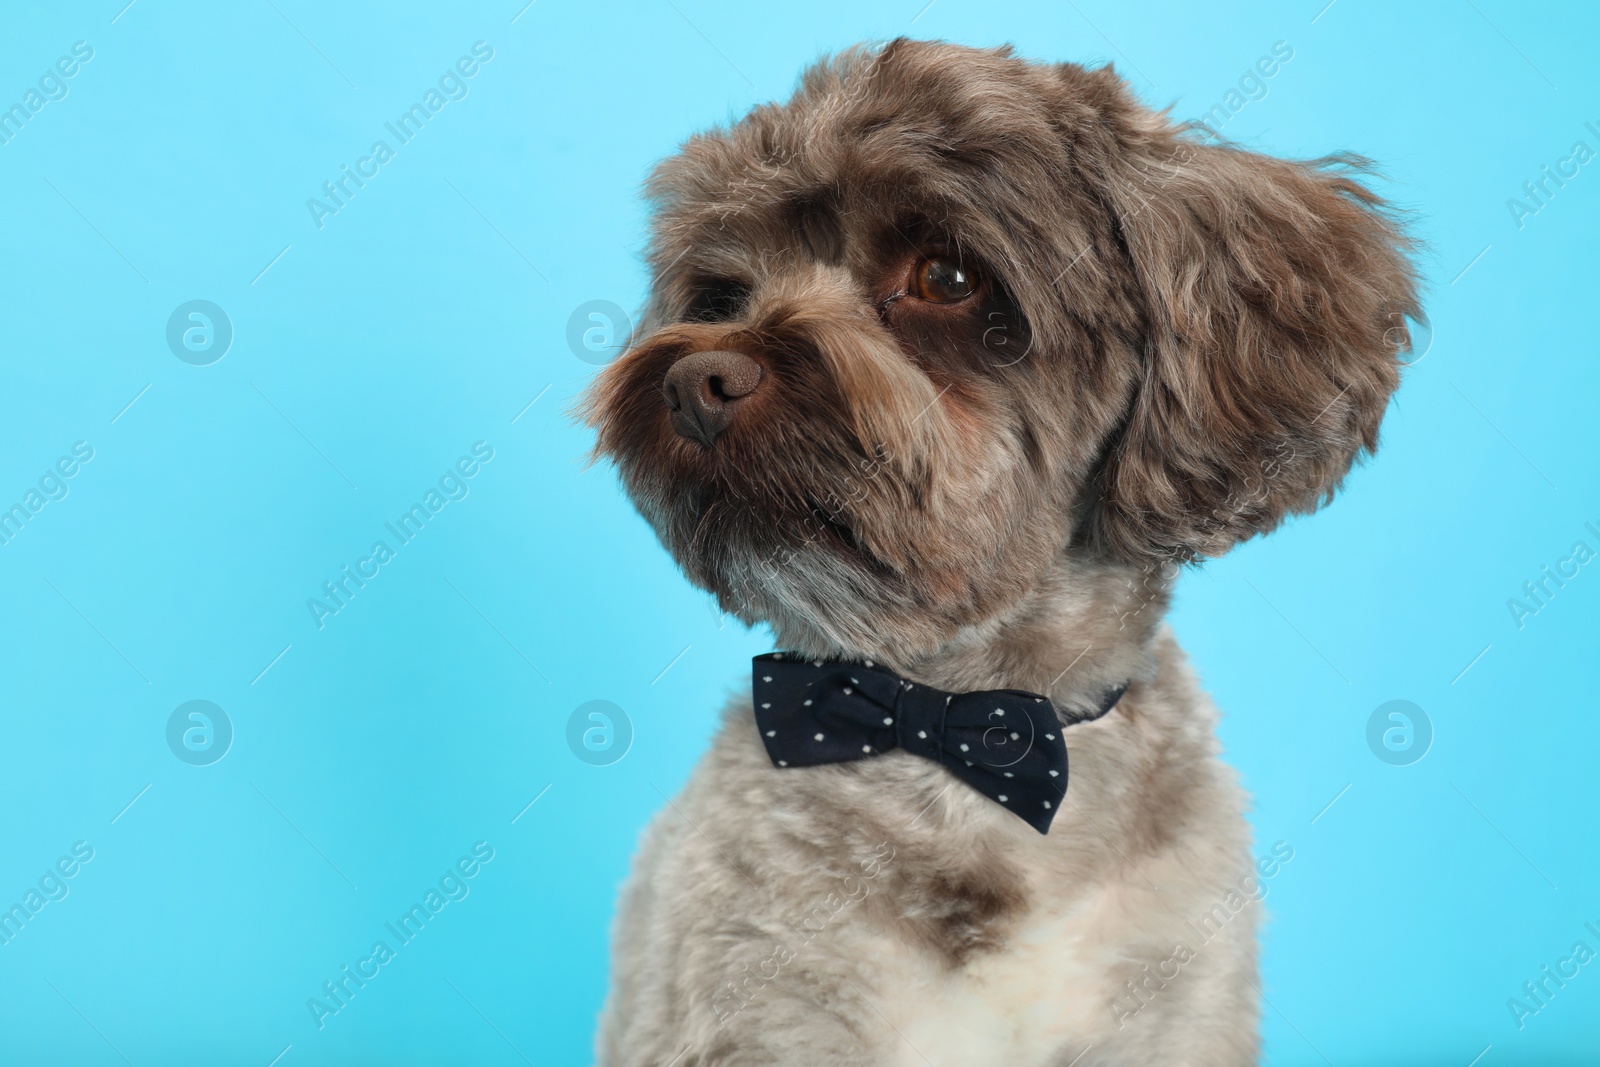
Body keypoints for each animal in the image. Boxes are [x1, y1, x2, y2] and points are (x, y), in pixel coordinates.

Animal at [582, 37, 1420, 1062]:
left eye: (946, 277)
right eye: (723, 293)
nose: (697, 380)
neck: (964, 714)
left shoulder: (1174, 1010)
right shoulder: (759, 1009)